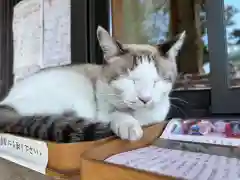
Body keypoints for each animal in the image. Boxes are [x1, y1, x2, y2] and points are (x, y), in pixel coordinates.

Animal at [0, 26, 186, 142]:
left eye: (158, 81)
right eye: (129, 79)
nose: (145, 99)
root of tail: (6, 103)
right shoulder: (101, 113)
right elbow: (115, 114)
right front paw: (128, 124)